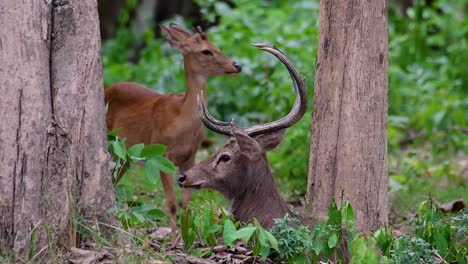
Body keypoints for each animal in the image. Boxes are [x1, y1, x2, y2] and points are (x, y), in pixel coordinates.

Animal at [105, 23, 241, 241]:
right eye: (206, 51)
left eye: (217, 46)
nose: (237, 65)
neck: (181, 120)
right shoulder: (161, 155)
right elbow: (170, 203)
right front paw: (174, 239)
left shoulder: (190, 157)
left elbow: (186, 203)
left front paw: (187, 236)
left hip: (125, 156)